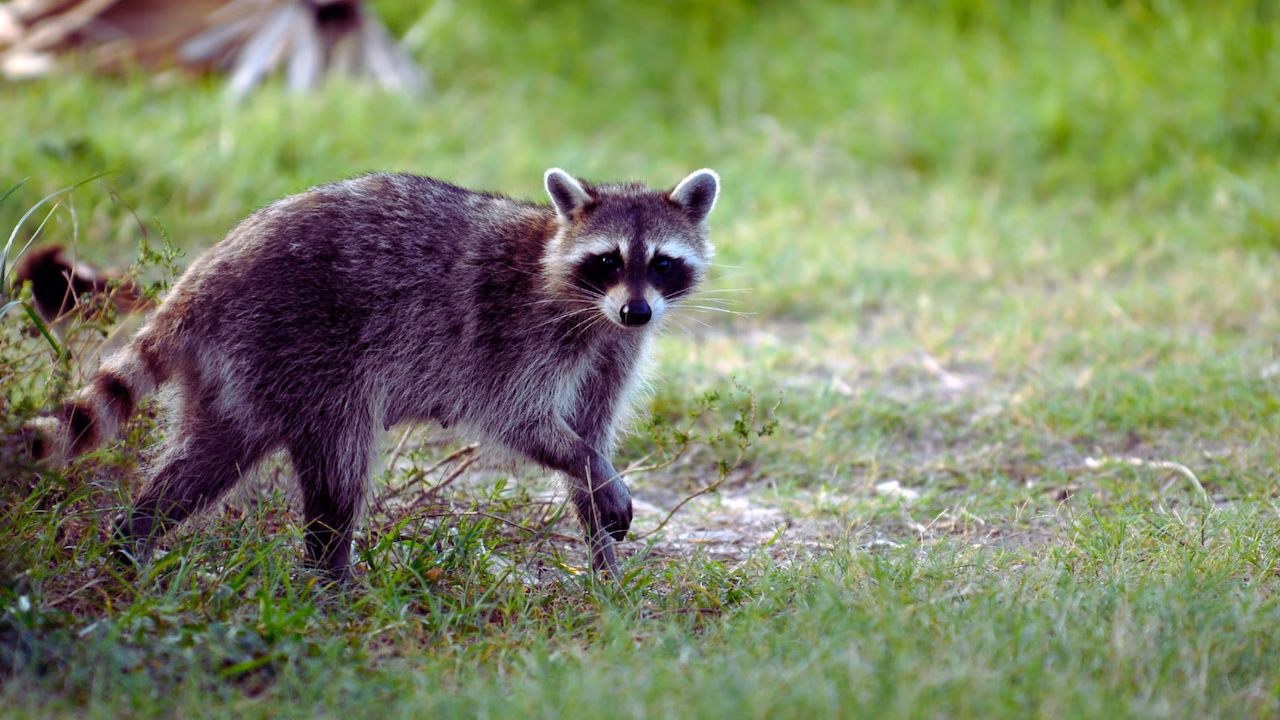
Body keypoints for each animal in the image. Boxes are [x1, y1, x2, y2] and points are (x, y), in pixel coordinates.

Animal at [26, 167, 721, 582]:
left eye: (662, 263)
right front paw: (596, 476)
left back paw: (132, 539)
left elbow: (588, 433)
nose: (637, 311)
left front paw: (604, 558)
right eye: (607, 261)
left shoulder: (612, 351)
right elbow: (522, 420)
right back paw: (332, 578)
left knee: (207, 457)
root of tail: (207, 272)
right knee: (340, 468)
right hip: (304, 345)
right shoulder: (515, 334)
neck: (588, 304)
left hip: (241, 370)